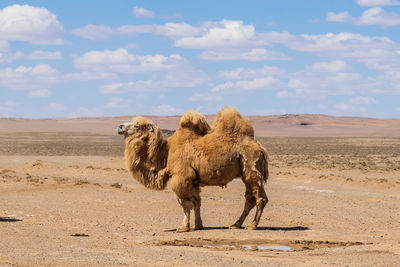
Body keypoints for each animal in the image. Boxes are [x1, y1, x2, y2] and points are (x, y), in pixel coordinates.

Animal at [118, 107, 268, 232]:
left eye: (136, 125)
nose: (120, 126)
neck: (165, 154)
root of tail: (260, 148)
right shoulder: (194, 181)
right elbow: (196, 202)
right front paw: (198, 225)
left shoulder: (181, 177)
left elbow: (186, 203)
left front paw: (183, 227)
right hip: (246, 174)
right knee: (250, 199)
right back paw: (236, 224)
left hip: (252, 169)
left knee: (260, 198)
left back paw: (252, 225)